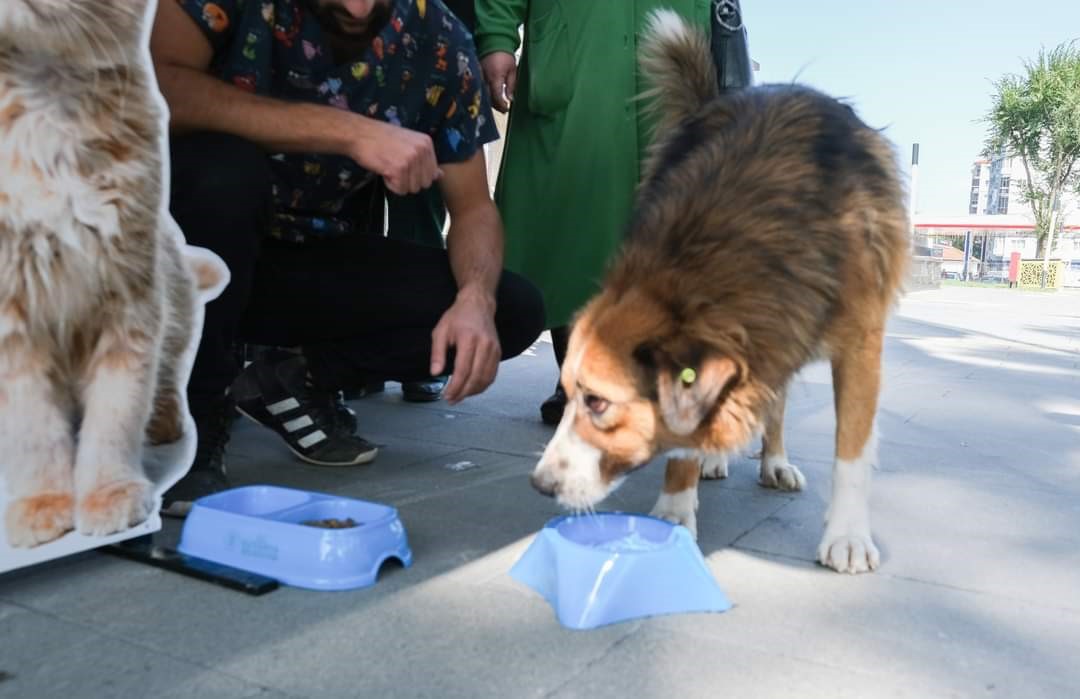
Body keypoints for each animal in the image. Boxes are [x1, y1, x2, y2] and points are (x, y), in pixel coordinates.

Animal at [531, 10, 911, 579]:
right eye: (570, 394)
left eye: (597, 402)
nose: (540, 485)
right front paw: (674, 507)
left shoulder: (859, 343)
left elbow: (853, 447)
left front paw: (846, 534)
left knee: (777, 402)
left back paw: (775, 461)